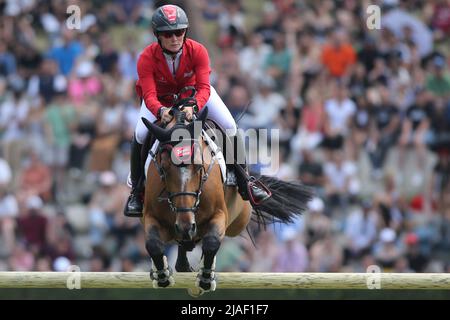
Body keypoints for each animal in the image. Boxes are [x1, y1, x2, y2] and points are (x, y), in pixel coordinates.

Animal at [141, 104, 312, 294]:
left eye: (199, 166)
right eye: (163, 168)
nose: (185, 226)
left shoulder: (219, 214)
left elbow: (212, 241)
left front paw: (206, 279)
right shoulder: (151, 216)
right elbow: (153, 243)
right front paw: (161, 275)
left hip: (239, 221)